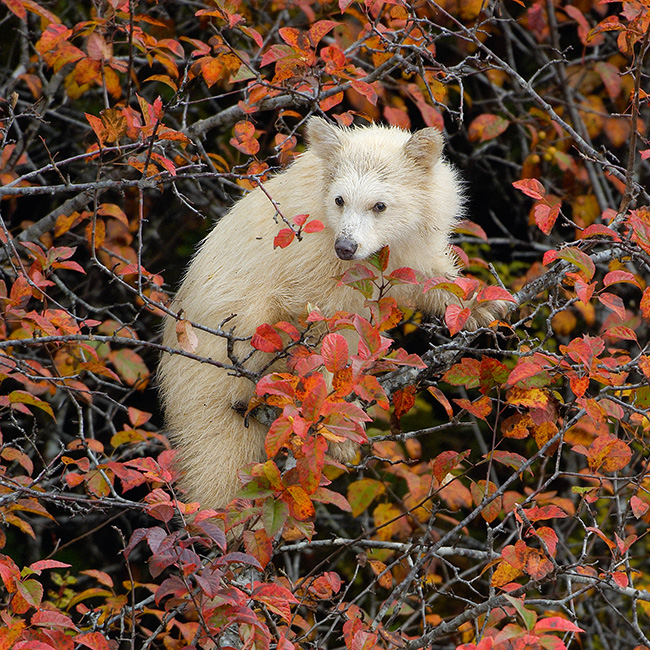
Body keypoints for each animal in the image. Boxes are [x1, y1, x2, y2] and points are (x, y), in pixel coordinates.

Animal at [157, 119, 502, 508]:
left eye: (380, 205)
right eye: (340, 199)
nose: (346, 246)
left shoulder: (409, 247)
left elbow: (427, 274)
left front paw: (482, 305)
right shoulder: (306, 259)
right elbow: (316, 328)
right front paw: (335, 425)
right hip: (216, 367)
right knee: (218, 456)